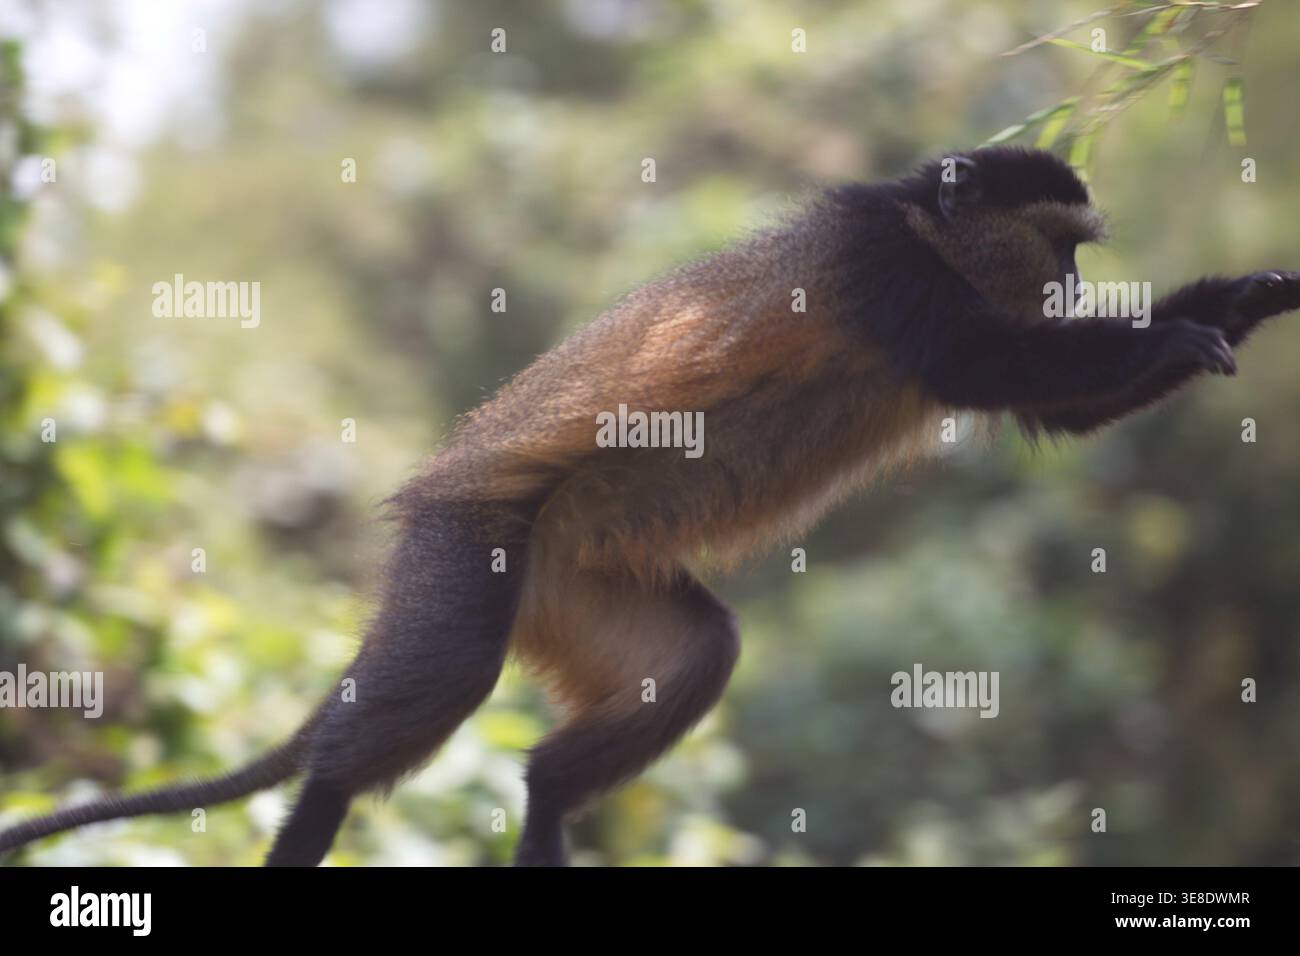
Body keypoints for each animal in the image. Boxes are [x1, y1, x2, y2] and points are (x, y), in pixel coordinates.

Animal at [2, 146, 1297, 867]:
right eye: (1059, 248)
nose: (1078, 288)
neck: (927, 227)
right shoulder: (888, 275)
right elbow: (1002, 369)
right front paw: (1177, 330)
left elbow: (1049, 406)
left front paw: (1254, 291)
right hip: (472, 553)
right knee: (434, 684)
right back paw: (324, 804)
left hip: (572, 581)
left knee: (690, 656)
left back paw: (540, 809)